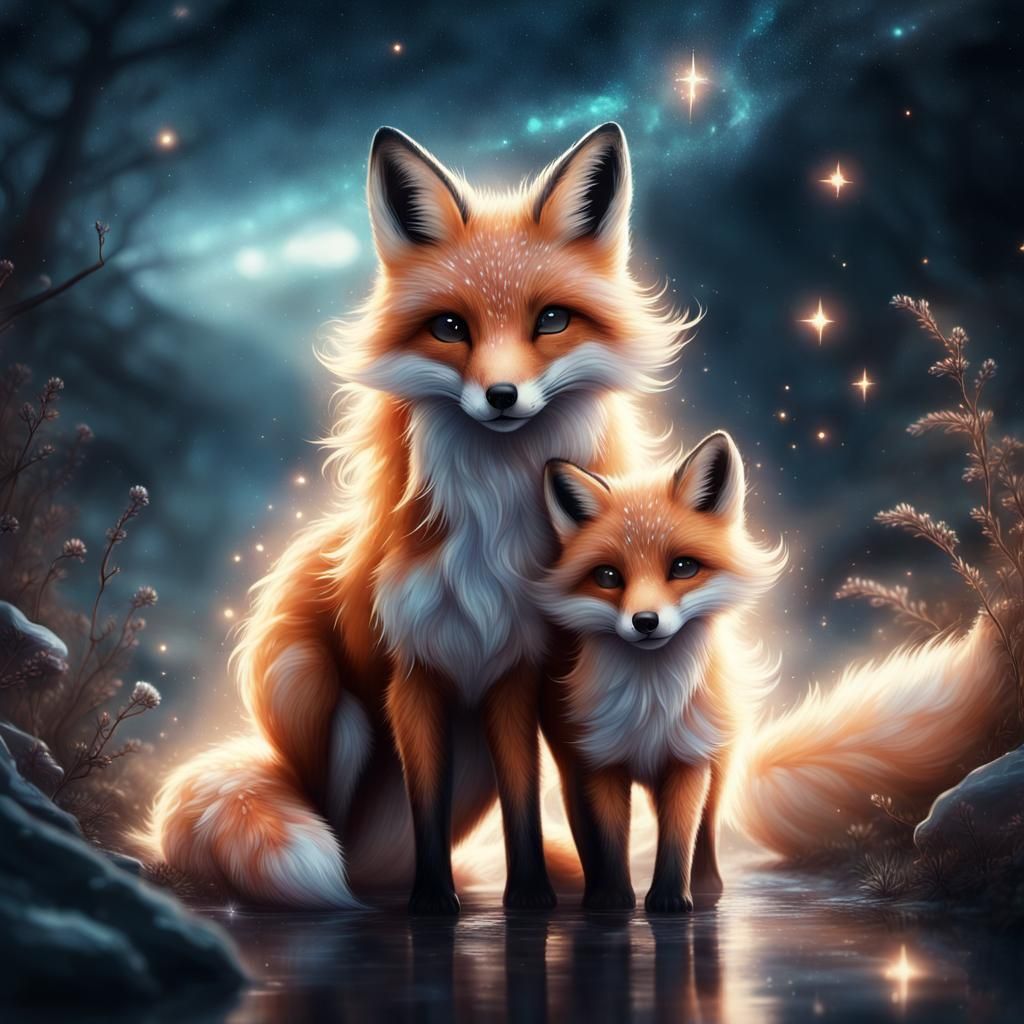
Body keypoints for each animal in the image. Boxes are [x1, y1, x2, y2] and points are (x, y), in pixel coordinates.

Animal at [144, 122, 693, 911]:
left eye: (551, 320)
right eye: (449, 327)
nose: (501, 396)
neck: (494, 525)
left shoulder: (517, 673)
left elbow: (524, 799)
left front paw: (530, 898)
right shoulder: (413, 673)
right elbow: (423, 800)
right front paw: (434, 905)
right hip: (319, 702)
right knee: (329, 823)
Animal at [537, 431, 785, 911]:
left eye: (683, 567)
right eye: (608, 576)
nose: (645, 622)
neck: (649, 703)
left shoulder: (687, 760)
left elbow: (679, 835)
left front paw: (671, 898)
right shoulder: (601, 761)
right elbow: (610, 838)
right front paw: (613, 897)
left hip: (717, 762)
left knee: (707, 827)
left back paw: (707, 886)